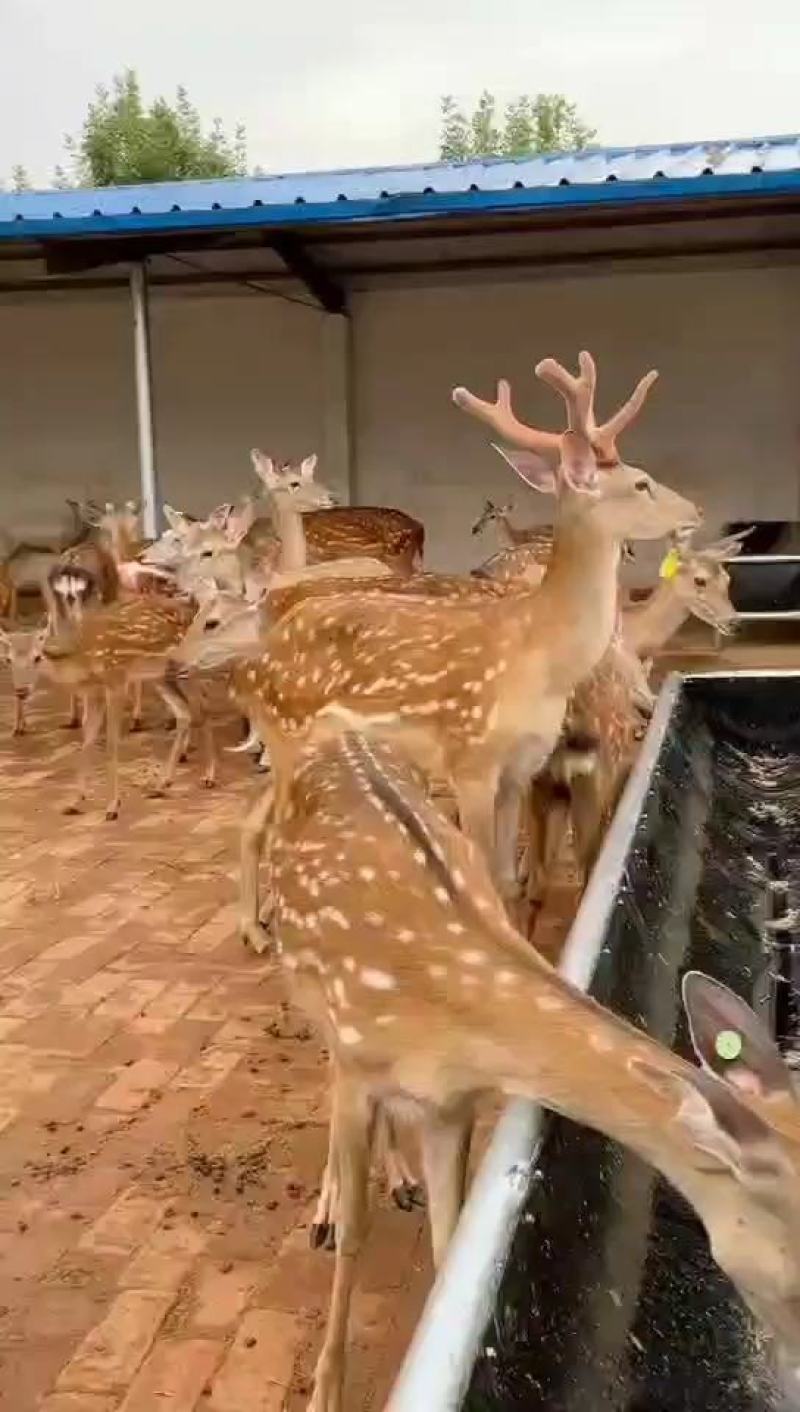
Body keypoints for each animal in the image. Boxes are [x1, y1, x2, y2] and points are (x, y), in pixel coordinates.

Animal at [223, 350, 699, 950]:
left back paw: (255, 928)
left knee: (253, 820)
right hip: (287, 736)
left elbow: (509, 879)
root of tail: (245, 668)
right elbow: (489, 880)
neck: (540, 657)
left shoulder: (522, 768)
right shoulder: (470, 760)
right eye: (641, 483)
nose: (696, 512)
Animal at [265, 728, 800, 1412]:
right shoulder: (360, 1062)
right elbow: (358, 1232)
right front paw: (325, 1391)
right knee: (326, 1072)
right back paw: (329, 1206)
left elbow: (448, 1248)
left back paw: (400, 1178)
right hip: (304, 985)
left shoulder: (452, 1105)